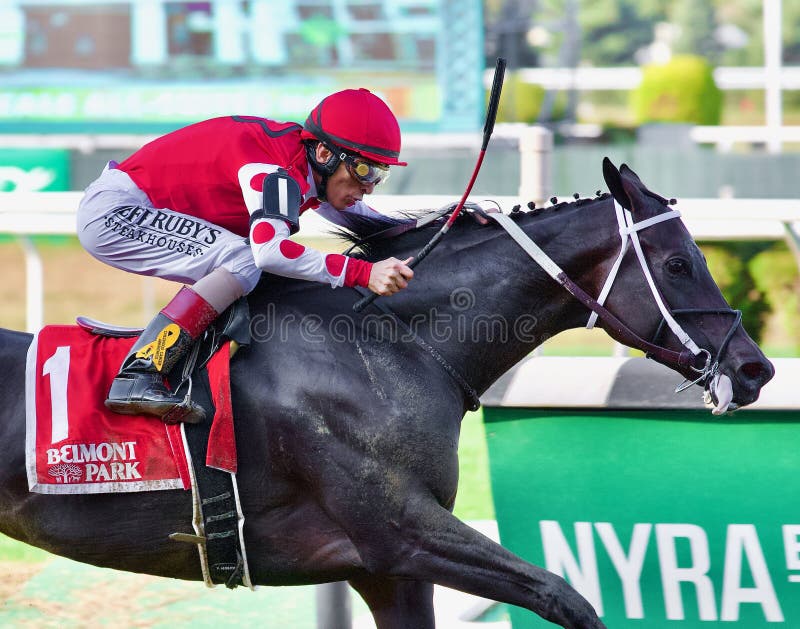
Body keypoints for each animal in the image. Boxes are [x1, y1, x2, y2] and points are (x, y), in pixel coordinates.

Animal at [0, 161, 776, 628]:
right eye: (678, 264)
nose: (755, 369)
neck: (388, 341)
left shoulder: (387, 570)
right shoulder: (402, 532)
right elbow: (567, 597)